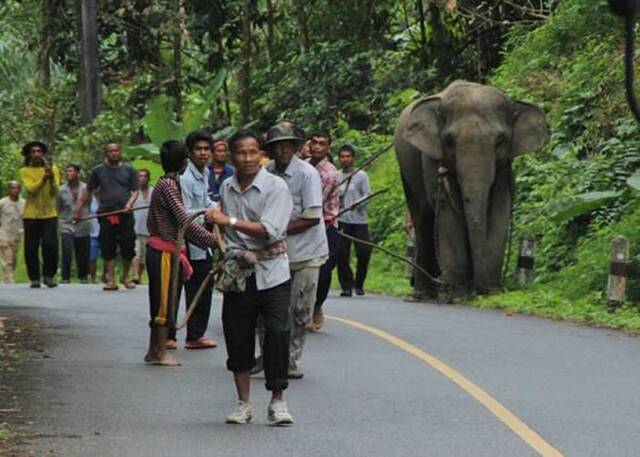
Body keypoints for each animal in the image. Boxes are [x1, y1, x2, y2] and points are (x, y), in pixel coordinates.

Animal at [396, 81, 552, 302]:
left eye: (500, 141)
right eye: (449, 141)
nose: (478, 291)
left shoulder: (504, 168)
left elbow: (499, 210)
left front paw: (490, 291)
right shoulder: (432, 161)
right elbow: (448, 216)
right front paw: (458, 295)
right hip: (407, 170)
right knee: (424, 222)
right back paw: (425, 294)